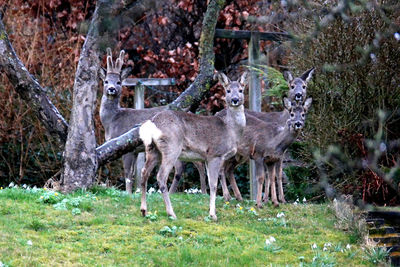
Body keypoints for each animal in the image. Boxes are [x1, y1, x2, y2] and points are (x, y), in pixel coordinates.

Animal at [99, 48, 188, 195]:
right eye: (106, 81)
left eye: (118, 82)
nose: (111, 89)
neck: (112, 121)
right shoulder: (134, 151)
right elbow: (133, 173)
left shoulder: (126, 146)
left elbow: (128, 174)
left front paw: (128, 194)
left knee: (180, 167)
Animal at [139, 71, 248, 220]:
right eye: (228, 90)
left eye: (241, 90)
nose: (235, 99)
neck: (230, 130)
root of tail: (152, 123)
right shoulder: (215, 154)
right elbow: (213, 185)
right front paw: (213, 215)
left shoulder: (207, 158)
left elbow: (210, 182)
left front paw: (211, 211)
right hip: (171, 147)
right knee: (161, 177)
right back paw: (171, 213)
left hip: (152, 150)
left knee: (144, 172)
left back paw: (144, 210)